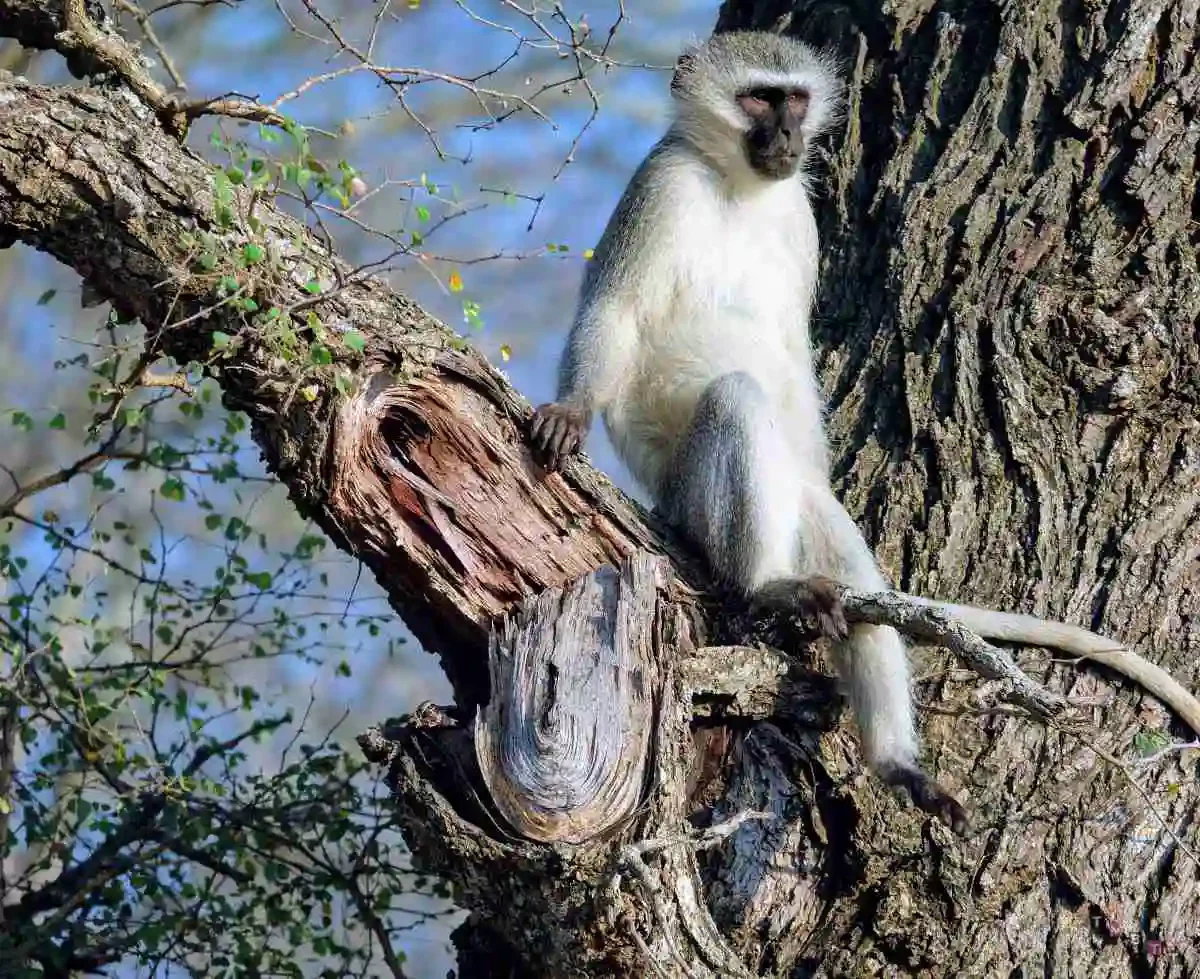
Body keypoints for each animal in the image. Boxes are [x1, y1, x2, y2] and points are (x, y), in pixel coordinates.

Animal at [529, 31, 1200, 833]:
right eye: (759, 99)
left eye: (795, 99)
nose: (788, 137)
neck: (739, 188)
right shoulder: (660, 185)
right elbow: (614, 310)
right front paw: (570, 410)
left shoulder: (800, 219)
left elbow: (792, 356)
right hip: (688, 496)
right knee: (738, 402)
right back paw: (768, 586)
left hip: (801, 503)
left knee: (839, 542)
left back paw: (895, 760)